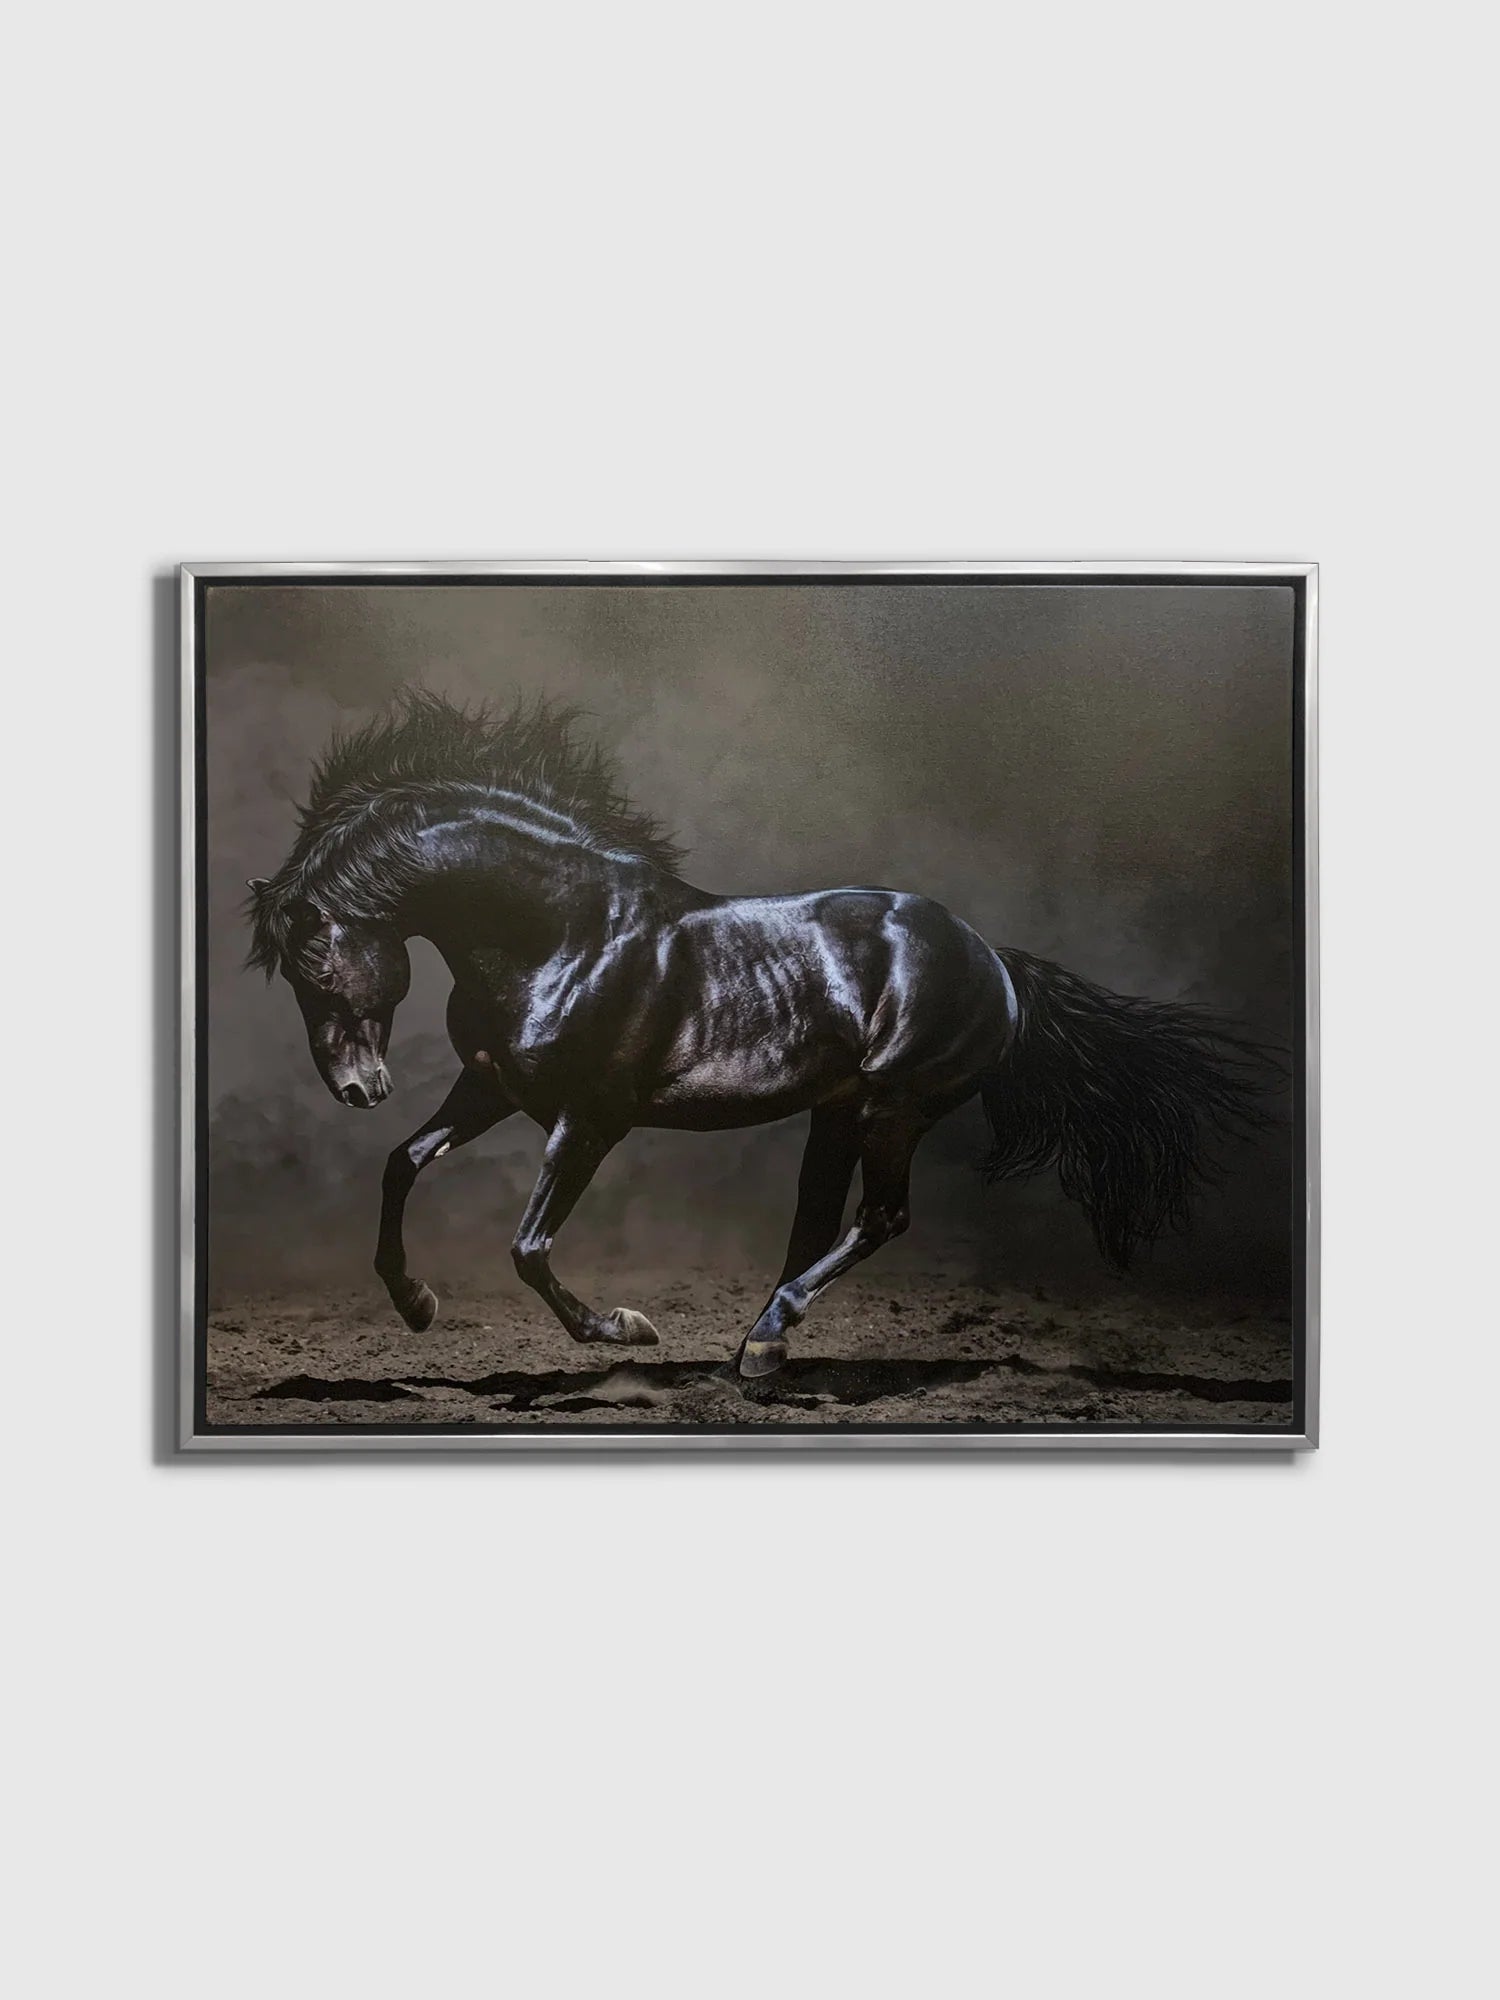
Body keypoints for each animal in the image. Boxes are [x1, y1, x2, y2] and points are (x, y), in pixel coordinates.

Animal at [247, 689, 1269, 1379]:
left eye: (317, 961)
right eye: (289, 975)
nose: (357, 1089)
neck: (562, 933)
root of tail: (996, 962)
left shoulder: (591, 1118)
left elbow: (528, 1247)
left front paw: (624, 1328)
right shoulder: (493, 1088)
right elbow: (401, 1165)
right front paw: (416, 1305)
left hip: (897, 1106)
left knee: (880, 1218)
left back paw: (767, 1342)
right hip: (840, 1110)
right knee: (819, 1220)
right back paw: (754, 1345)